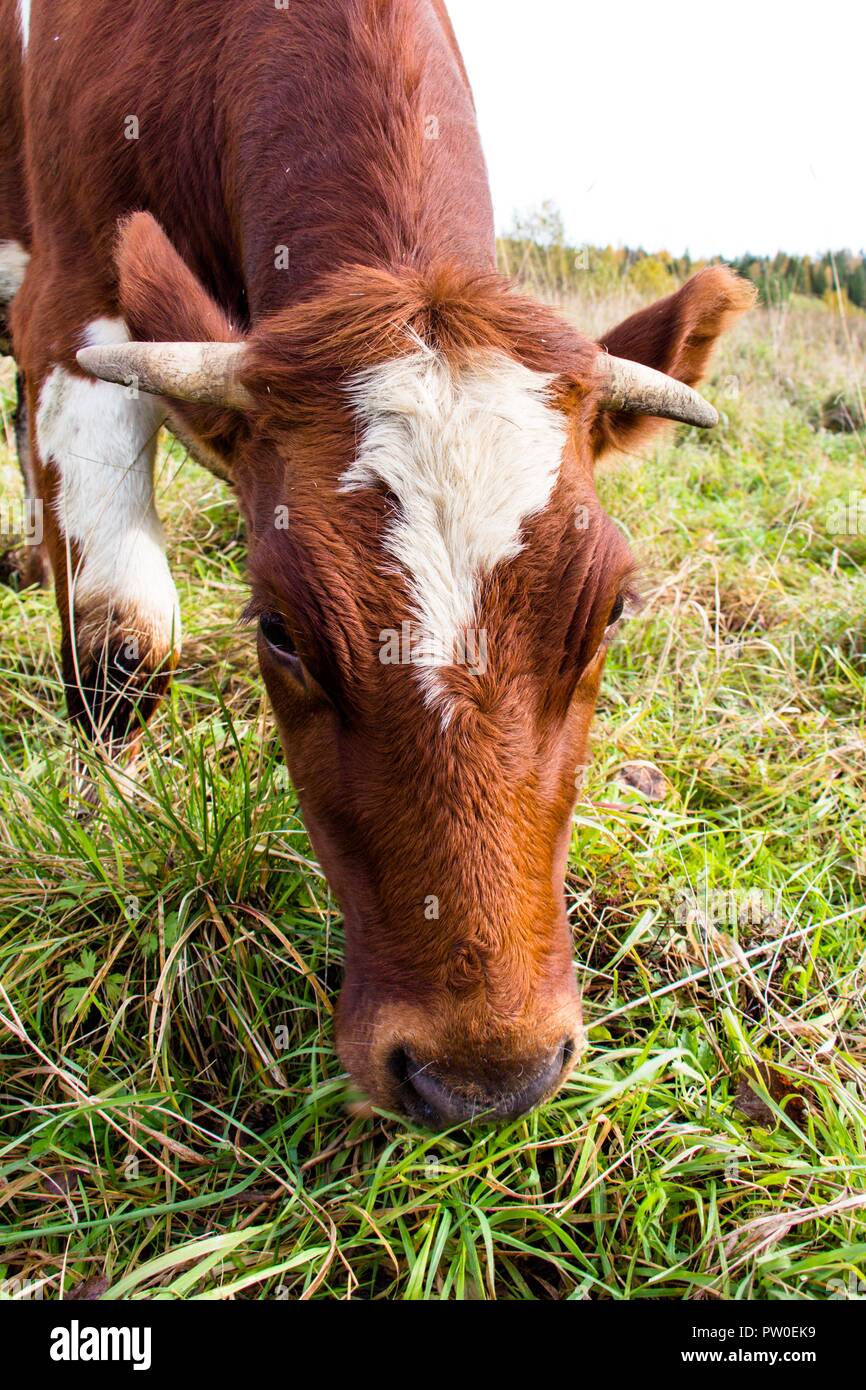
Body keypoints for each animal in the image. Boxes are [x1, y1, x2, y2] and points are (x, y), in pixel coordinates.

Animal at [1, 0, 750, 1123]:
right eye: (277, 627)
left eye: (610, 611)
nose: (485, 1072)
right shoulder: (66, 303)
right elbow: (121, 647)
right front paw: (102, 831)